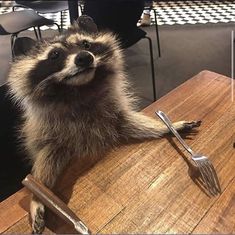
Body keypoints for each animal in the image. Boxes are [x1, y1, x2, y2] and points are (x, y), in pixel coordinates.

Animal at [8, 15, 201, 234]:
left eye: (86, 44)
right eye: (55, 54)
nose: (84, 57)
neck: (80, 89)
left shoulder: (112, 112)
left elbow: (129, 122)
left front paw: (167, 127)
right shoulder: (50, 133)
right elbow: (45, 161)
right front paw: (37, 196)